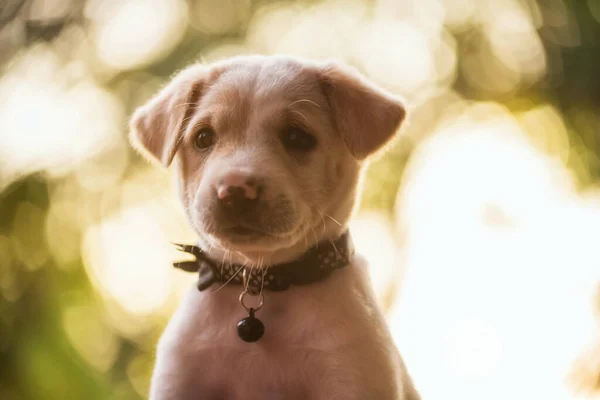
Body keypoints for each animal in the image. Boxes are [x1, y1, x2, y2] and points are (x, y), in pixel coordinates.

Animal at [129, 54, 420, 400]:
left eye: (297, 137)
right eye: (203, 138)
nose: (234, 190)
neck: (262, 281)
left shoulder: (351, 374)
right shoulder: (179, 380)